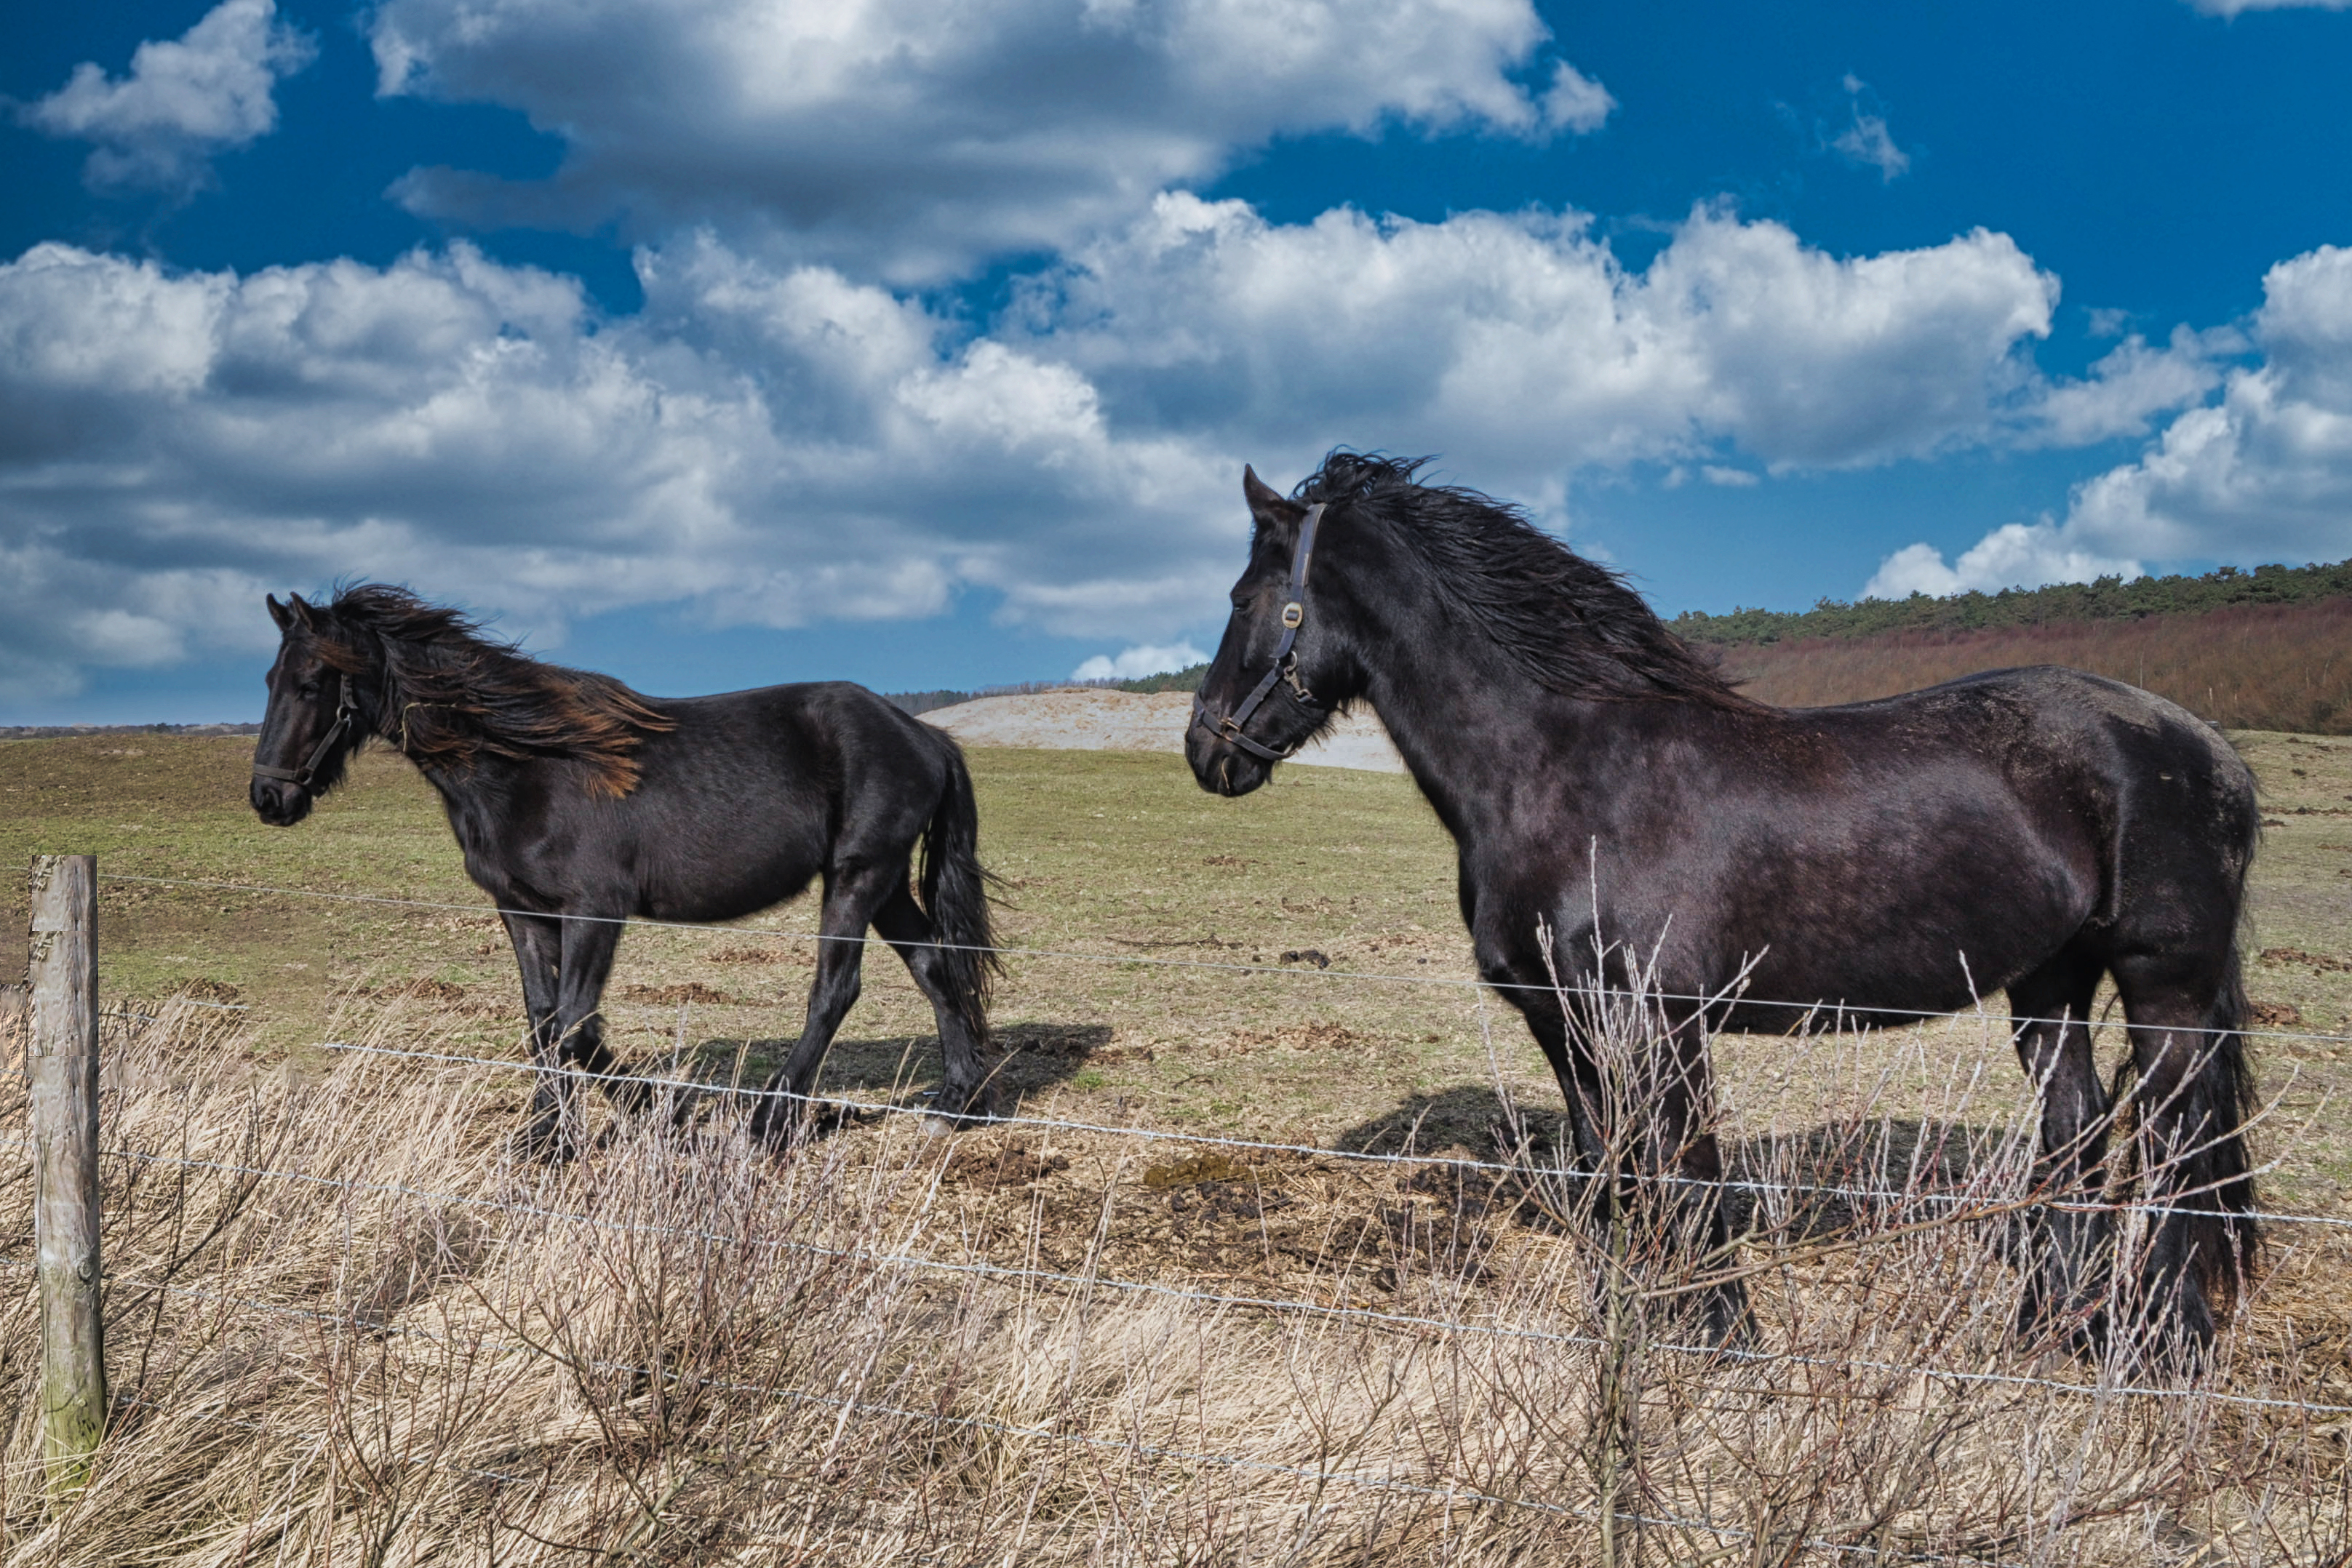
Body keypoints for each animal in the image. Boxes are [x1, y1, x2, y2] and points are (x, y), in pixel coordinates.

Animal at [249, 585, 1002, 1154]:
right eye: (270, 680)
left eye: (312, 684)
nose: (268, 798)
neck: (526, 768)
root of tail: (923, 734)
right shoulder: (522, 911)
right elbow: (542, 1023)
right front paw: (547, 1139)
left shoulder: (594, 909)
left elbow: (575, 1028)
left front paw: (663, 1115)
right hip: (885, 883)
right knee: (934, 967)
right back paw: (953, 1104)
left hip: (857, 876)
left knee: (835, 991)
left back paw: (769, 1120)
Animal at [1187, 453, 2261, 1359]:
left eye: (1245, 598)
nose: (1206, 748)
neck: (1561, 771)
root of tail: (2208, 744)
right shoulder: (1565, 1025)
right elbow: (1609, 1179)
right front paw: (1624, 1331)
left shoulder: (1658, 1021)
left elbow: (1686, 1176)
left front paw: (1720, 1339)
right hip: (2049, 985)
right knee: (2075, 1138)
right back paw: (2048, 1335)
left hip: (2165, 990)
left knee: (2175, 1150)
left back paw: (2164, 1348)